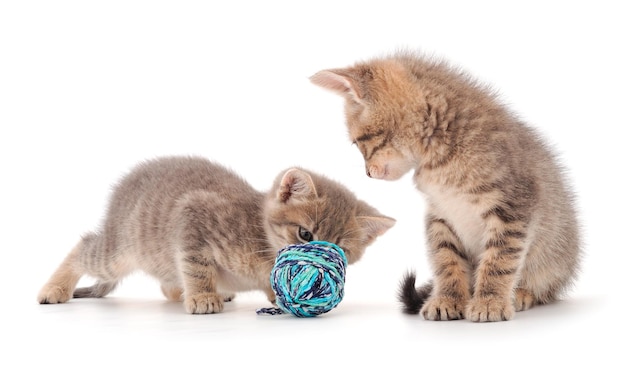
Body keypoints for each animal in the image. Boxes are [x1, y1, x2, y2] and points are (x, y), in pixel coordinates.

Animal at [36, 155, 392, 314]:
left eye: (339, 249)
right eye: (305, 233)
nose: (316, 258)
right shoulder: (192, 215)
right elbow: (196, 265)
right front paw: (203, 296)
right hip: (121, 249)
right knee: (85, 247)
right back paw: (54, 288)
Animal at [308, 50, 580, 320]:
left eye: (357, 142)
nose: (367, 174)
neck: (440, 157)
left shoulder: (512, 206)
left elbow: (499, 259)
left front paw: (489, 301)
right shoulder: (441, 214)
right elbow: (446, 259)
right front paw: (447, 299)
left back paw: (521, 293)